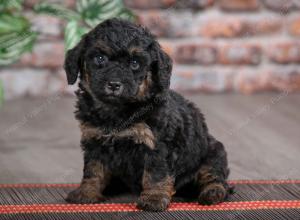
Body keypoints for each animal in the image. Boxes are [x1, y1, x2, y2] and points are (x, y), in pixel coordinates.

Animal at [64, 18, 231, 211]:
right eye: (100, 59)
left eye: (135, 63)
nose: (114, 84)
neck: (117, 111)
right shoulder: (94, 140)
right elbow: (93, 169)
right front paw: (87, 192)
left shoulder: (157, 144)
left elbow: (156, 173)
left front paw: (154, 198)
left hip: (212, 152)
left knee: (214, 176)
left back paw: (212, 192)